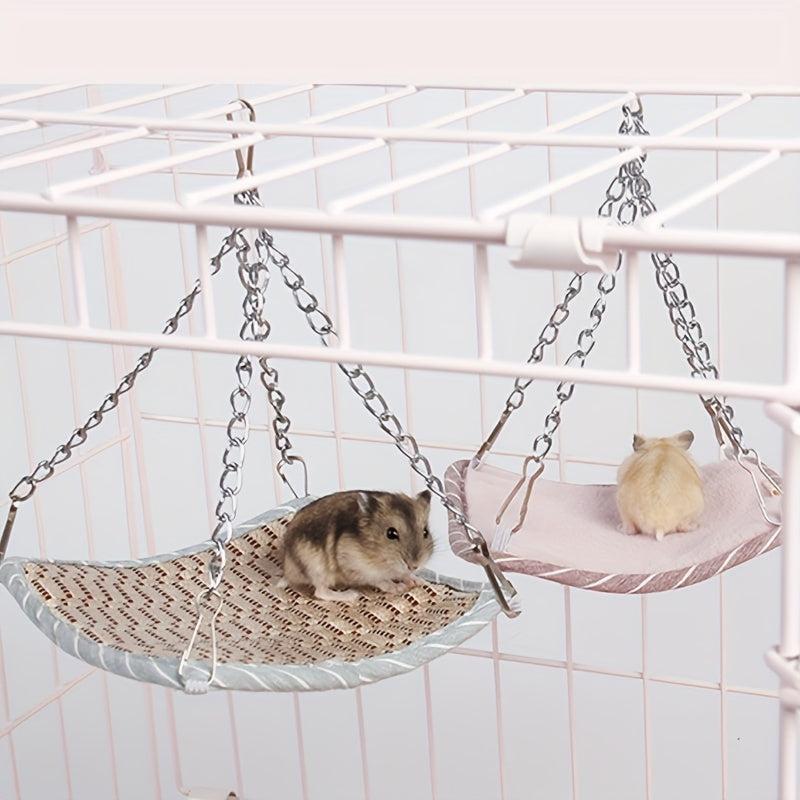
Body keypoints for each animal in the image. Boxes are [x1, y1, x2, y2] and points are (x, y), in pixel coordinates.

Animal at [281, 489, 434, 603]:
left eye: (425, 532)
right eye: (390, 533)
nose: (414, 566)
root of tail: (288, 571)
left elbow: (403, 574)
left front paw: (419, 582)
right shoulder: (358, 569)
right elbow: (381, 580)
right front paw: (399, 588)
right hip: (316, 569)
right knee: (320, 592)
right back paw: (352, 595)